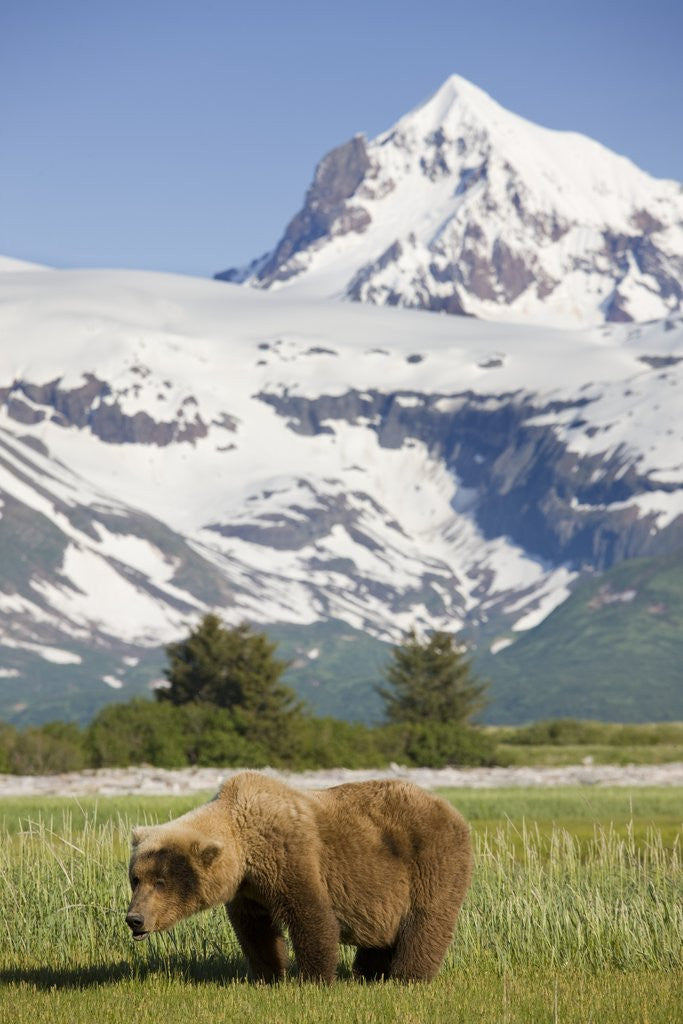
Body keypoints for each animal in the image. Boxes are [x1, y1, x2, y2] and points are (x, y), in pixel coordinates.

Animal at [125, 770, 473, 978]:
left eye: (161, 882)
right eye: (136, 878)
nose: (135, 919)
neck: (245, 845)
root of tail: (452, 809)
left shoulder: (290, 857)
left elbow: (311, 915)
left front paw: (314, 978)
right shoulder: (248, 890)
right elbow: (256, 931)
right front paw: (268, 975)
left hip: (430, 861)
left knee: (425, 921)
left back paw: (407, 976)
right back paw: (368, 972)